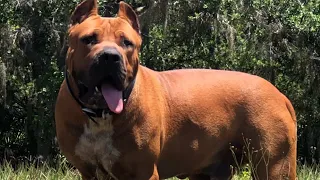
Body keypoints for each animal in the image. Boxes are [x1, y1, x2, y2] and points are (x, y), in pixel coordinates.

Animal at [55, 0, 298, 179]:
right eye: (88, 39)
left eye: (127, 43)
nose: (109, 57)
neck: (100, 114)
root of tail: (279, 94)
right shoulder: (89, 171)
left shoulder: (144, 171)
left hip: (274, 166)